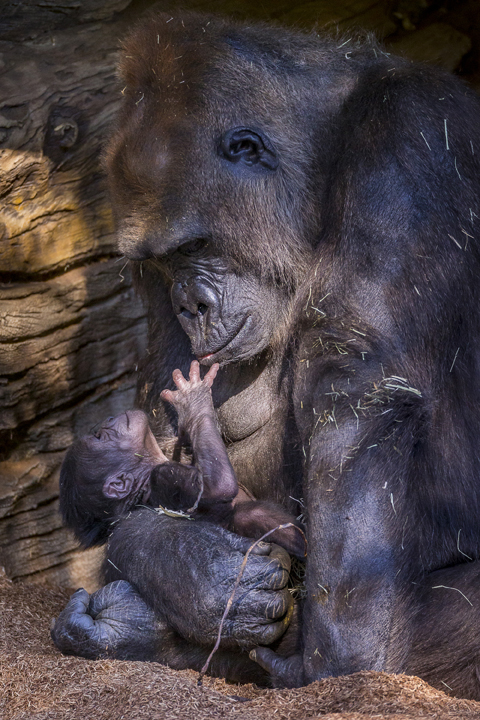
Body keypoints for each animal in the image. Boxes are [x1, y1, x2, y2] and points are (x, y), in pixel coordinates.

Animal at [59, 360, 304, 556]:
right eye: (99, 437)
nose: (108, 419)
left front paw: (187, 421)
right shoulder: (163, 479)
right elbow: (215, 488)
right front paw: (193, 400)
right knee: (251, 514)